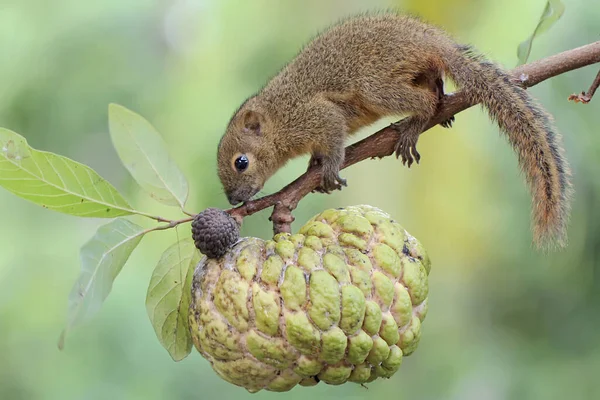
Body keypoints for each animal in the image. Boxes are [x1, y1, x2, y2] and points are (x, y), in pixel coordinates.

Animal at [218, 12, 576, 248]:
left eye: (241, 162)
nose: (234, 199)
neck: (278, 119)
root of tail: (428, 38)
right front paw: (314, 165)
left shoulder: (315, 115)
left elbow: (333, 139)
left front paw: (329, 168)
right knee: (432, 83)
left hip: (376, 84)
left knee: (424, 101)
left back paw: (415, 124)